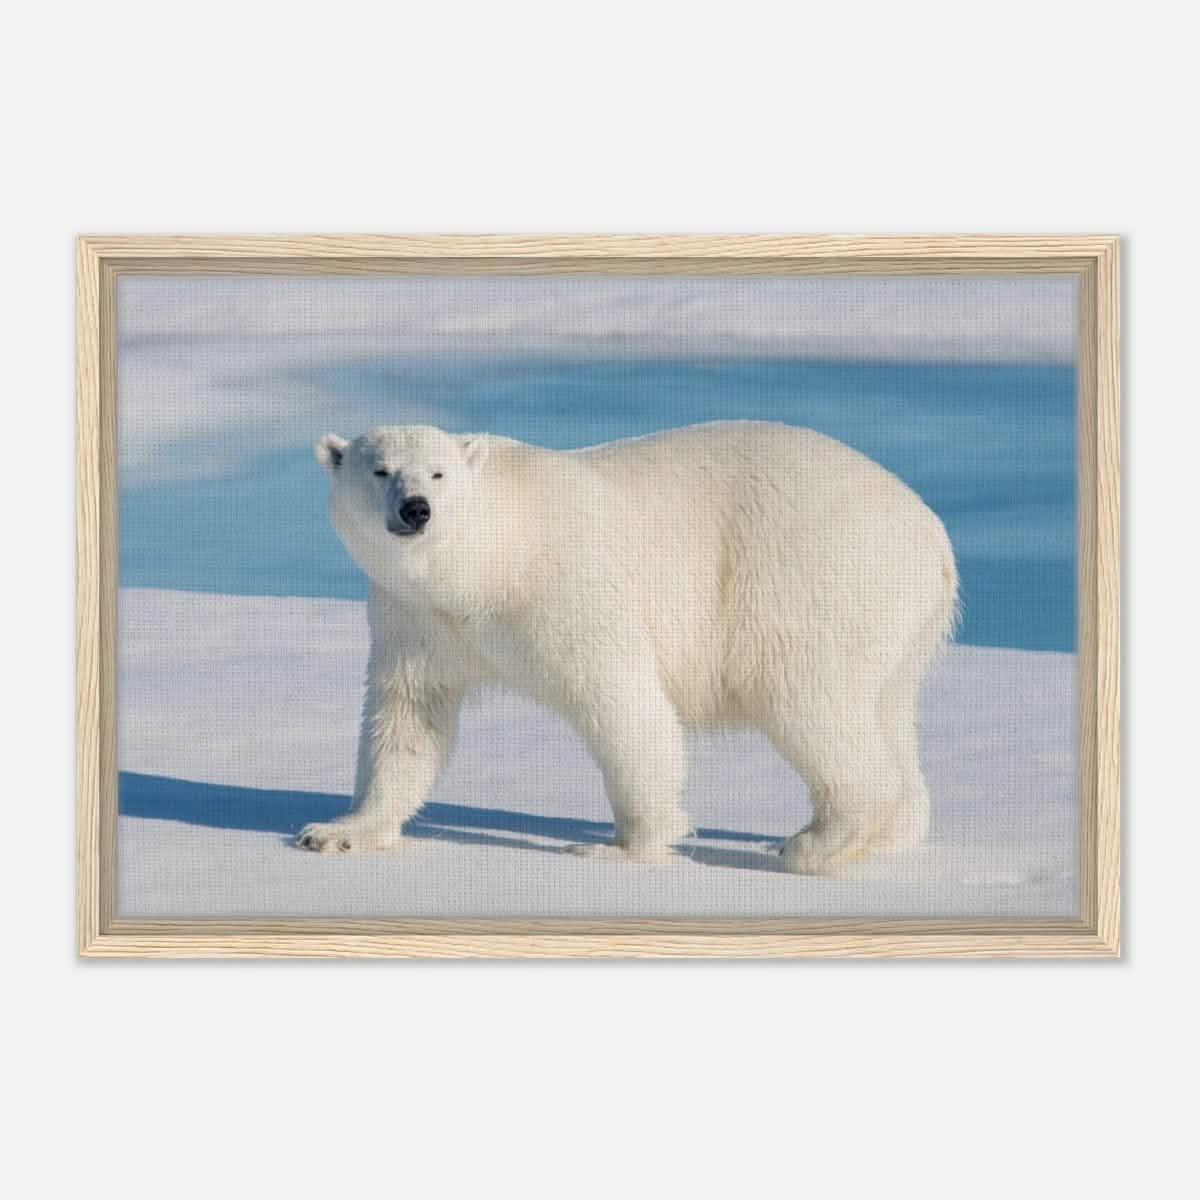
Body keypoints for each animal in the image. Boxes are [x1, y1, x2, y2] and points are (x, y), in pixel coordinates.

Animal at [299, 421, 958, 874]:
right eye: (380, 470)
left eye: (438, 473)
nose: (417, 510)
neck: (487, 561)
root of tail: (931, 532)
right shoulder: (417, 618)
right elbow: (408, 719)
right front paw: (338, 831)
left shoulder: (565, 588)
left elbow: (622, 703)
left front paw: (621, 847)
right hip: (897, 622)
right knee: (886, 710)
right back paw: (889, 834)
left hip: (810, 578)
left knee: (807, 700)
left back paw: (814, 842)